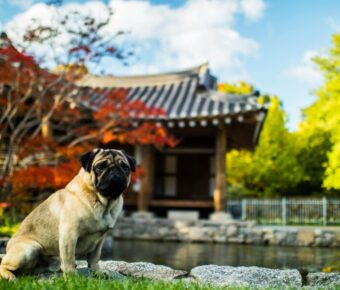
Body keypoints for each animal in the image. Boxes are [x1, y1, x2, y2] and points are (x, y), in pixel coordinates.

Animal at [0, 148, 135, 280]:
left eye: (125, 167)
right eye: (100, 167)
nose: (114, 170)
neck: (102, 202)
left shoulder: (100, 240)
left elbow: (94, 258)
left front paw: (97, 272)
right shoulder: (69, 234)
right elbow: (69, 257)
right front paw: (71, 277)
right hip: (29, 249)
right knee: (3, 264)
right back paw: (10, 276)